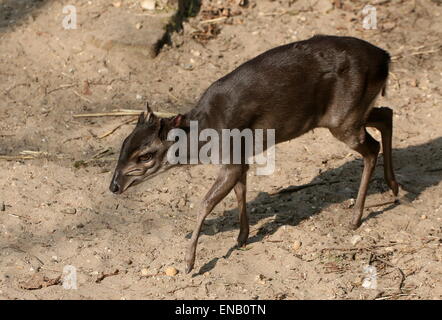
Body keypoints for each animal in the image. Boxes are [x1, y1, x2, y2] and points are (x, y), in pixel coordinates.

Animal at [109, 36, 398, 274]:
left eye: (145, 156)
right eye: (122, 146)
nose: (114, 186)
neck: (206, 131)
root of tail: (385, 58)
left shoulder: (231, 158)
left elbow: (205, 203)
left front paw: (189, 262)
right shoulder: (241, 156)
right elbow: (241, 191)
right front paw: (242, 237)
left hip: (344, 118)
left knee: (372, 146)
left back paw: (356, 217)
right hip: (350, 114)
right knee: (386, 114)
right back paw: (393, 186)